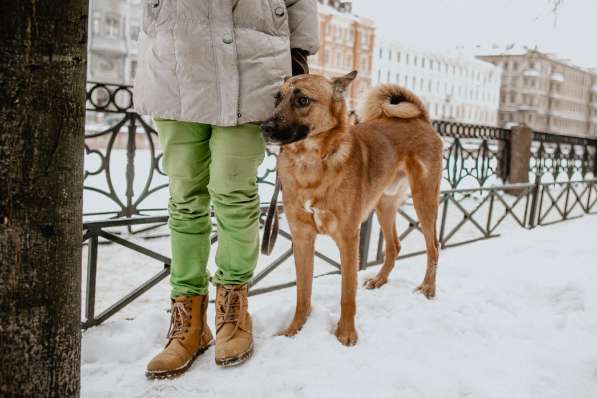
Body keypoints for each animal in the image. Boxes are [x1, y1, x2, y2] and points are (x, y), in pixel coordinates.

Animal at [260, 70, 442, 346]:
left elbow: (347, 293)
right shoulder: (302, 239)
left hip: (425, 200)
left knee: (433, 247)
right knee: (394, 246)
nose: (264, 128)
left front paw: (346, 334)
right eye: (276, 99)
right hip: (384, 205)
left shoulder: (348, 239)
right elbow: (302, 294)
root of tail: (421, 118)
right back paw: (379, 280)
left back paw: (428, 288)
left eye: (302, 100)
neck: (311, 164)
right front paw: (293, 331)